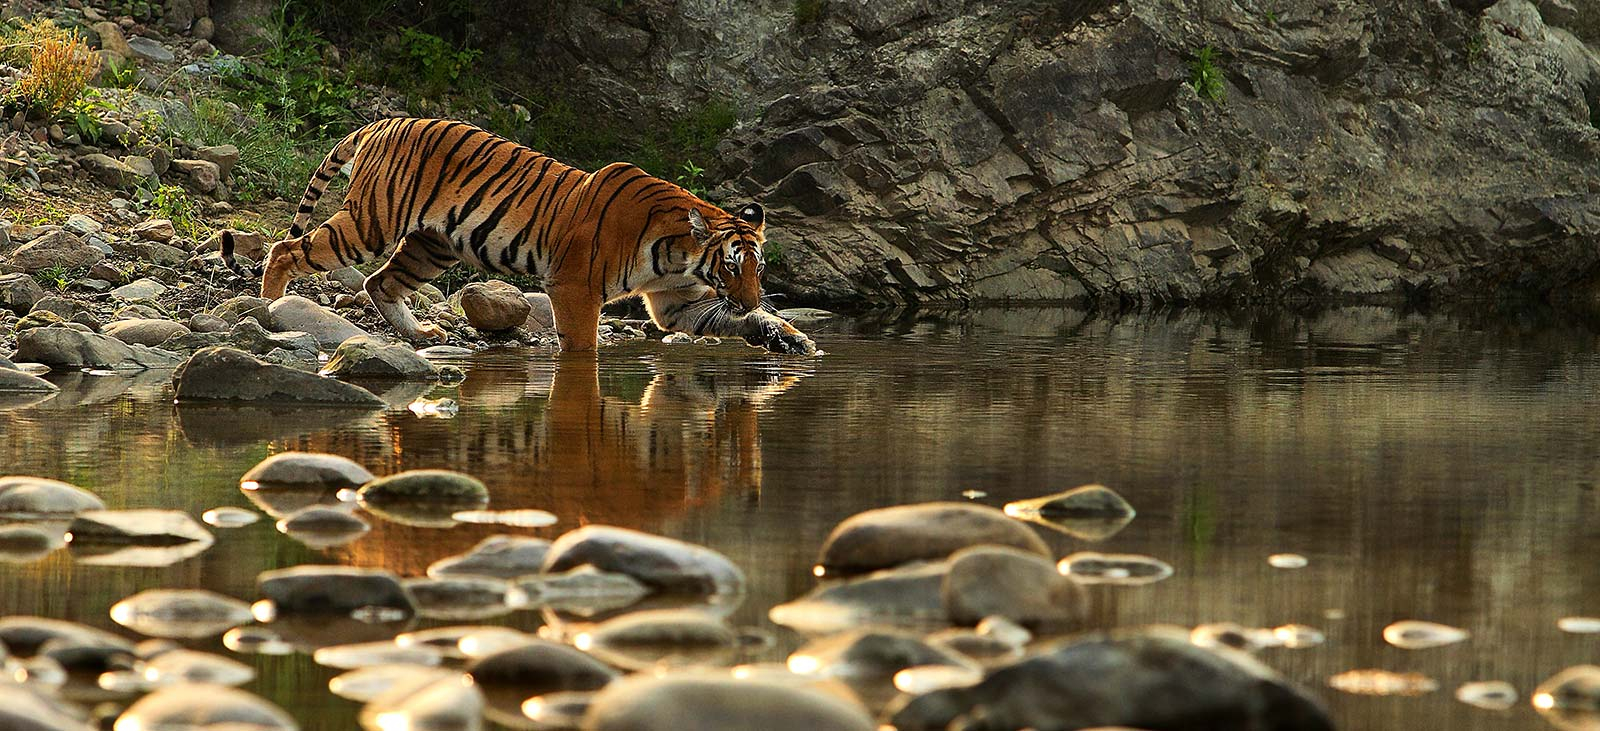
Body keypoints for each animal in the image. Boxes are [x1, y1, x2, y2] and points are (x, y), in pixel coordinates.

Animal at [220, 117, 816, 355]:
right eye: (731, 264)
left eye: (758, 268)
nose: (749, 297)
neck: (679, 255)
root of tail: (383, 122)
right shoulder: (574, 287)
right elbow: (582, 344)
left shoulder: (679, 304)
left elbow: (732, 322)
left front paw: (788, 337)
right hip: (370, 223)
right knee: (287, 248)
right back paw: (269, 309)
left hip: (433, 245)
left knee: (381, 283)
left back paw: (420, 335)